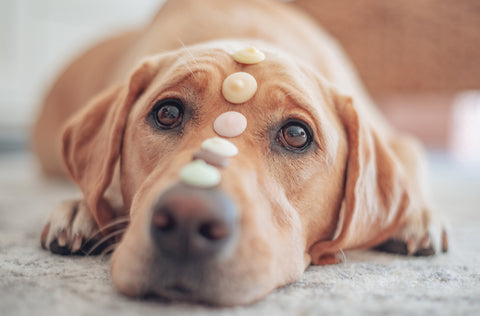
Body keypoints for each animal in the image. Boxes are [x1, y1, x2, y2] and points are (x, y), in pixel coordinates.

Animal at [32, 0, 446, 306]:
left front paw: (415, 217)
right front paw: (84, 210)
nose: (187, 218)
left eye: (296, 134)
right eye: (167, 113)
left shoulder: (401, 140)